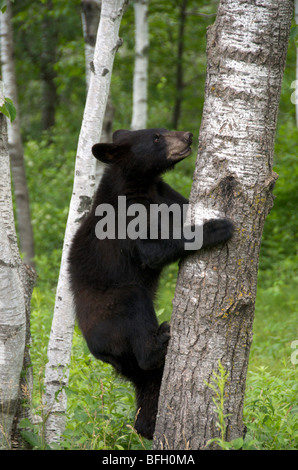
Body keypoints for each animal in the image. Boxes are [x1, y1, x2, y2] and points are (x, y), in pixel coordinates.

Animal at [68, 126, 234, 438]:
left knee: (149, 384)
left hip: (132, 368)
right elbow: (152, 250)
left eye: (164, 130)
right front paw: (217, 227)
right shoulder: (126, 215)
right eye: (156, 137)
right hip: (115, 310)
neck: (139, 184)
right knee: (135, 309)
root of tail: (98, 352)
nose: (188, 135)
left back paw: (148, 425)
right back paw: (161, 339)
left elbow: (182, 207)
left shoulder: (164, 194)